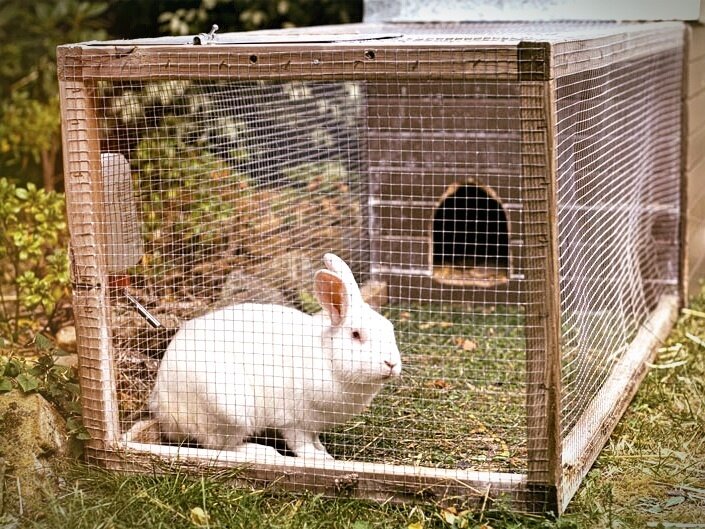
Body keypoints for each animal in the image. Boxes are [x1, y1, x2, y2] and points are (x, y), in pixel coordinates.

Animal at [147, 254, 402, 460]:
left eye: (390, 328)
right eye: (356, 335)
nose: (391, 363)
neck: (327, 358)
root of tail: (163, 409)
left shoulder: (313, 423)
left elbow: (315, 439)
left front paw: (322, 450)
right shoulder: (292, 420)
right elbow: (301, 444)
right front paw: (321, 459)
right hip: (229, 408)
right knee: (221, 446)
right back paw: (263, 452)